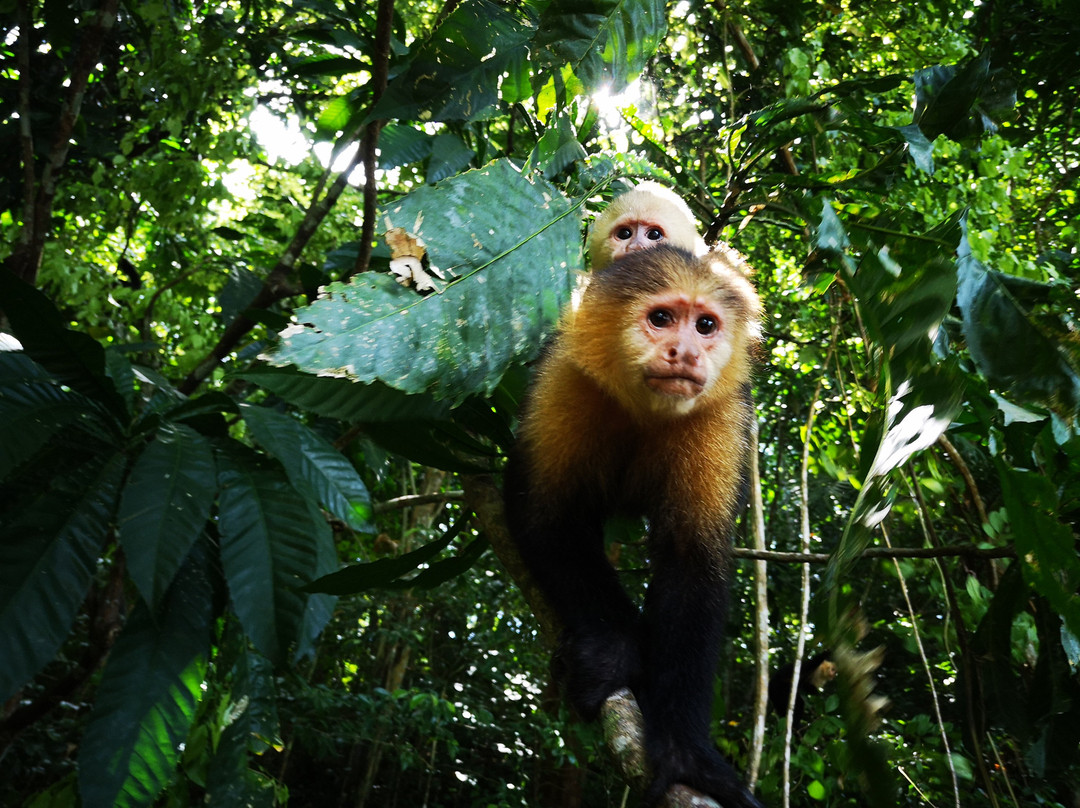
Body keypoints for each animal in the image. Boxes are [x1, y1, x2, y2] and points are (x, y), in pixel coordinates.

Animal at [503, 241, 764, 808]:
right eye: (662, 319)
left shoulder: (720, 418)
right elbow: (547, 516)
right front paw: (615, 650)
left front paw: (686, 752)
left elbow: (691, 563)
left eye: (706, 326)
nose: (686, 353)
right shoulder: (564, 377)